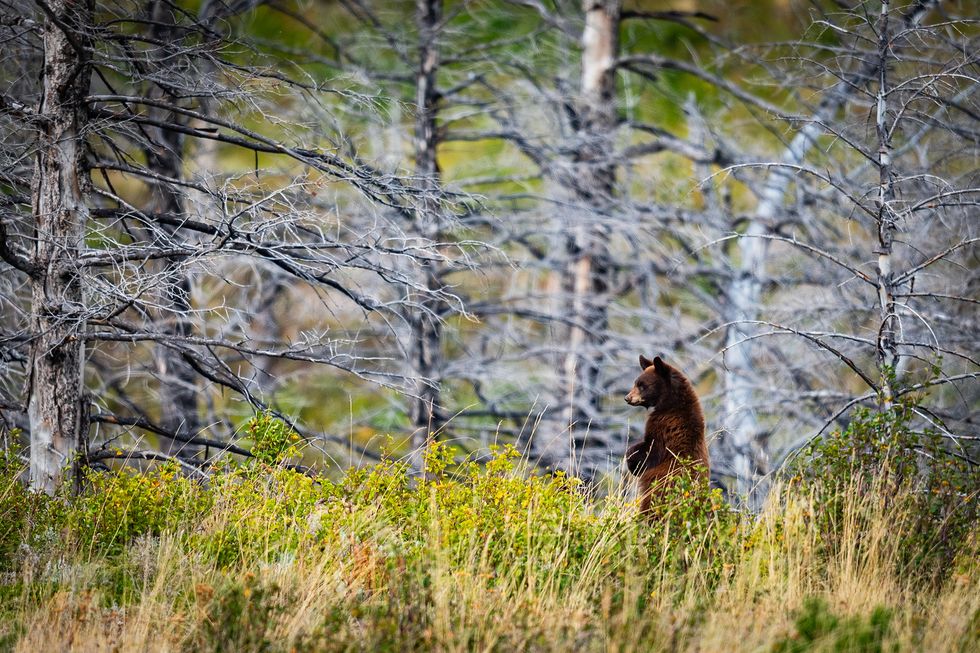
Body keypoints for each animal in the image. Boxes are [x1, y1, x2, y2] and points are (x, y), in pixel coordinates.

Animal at [623, 355, 709, 515]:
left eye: (642, 385)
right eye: (636, 383)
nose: (627, 398)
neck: (671, 403)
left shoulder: (663, 426)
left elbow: (649, 449)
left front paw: (633, 465)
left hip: (657, 496)